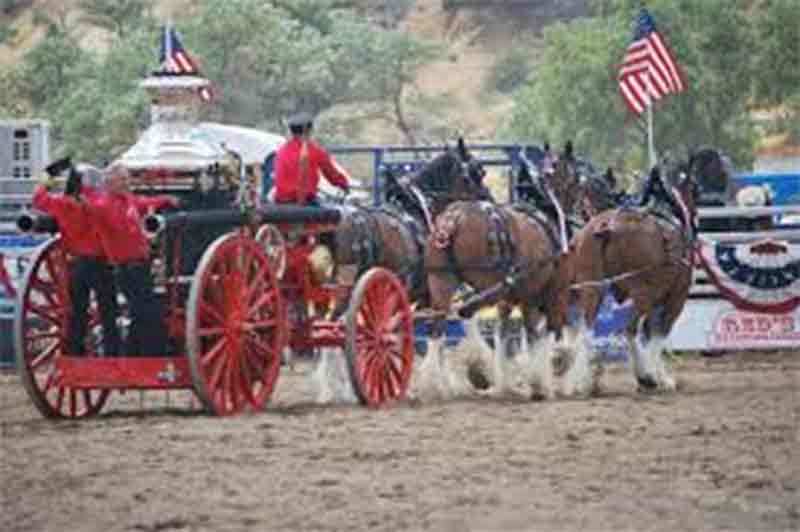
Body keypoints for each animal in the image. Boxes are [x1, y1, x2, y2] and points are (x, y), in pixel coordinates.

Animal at [564, 160, 700, 392]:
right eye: (695, 189)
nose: (696, 217)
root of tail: (607, 227)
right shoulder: (675, 299)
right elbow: (658, 335)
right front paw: (658, 377)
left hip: (591, 290)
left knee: (586, 331)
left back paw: (579, 381)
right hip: (643, 294)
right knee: (629, 329)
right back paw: (644, 376)